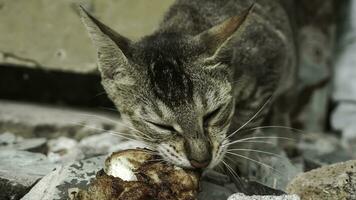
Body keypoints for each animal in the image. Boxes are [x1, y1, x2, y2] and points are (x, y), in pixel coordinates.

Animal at [79, 0, 296, 178]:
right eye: (160, 126)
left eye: (212, 114)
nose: (201, 161)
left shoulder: (273, 62)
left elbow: (246, 122)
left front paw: (234, 159)